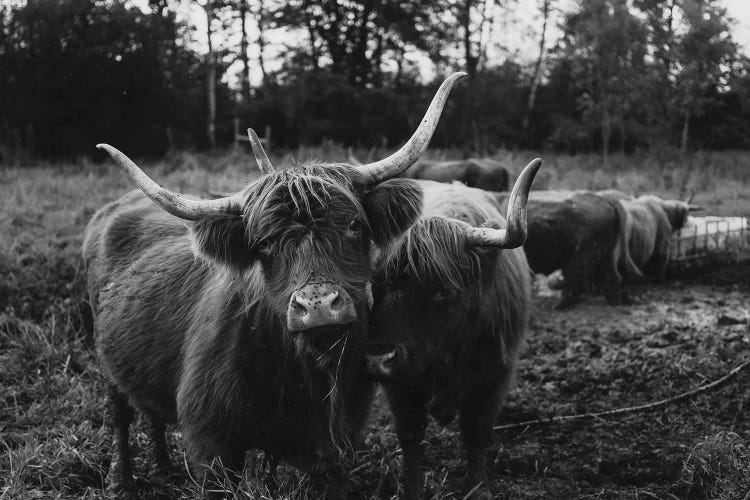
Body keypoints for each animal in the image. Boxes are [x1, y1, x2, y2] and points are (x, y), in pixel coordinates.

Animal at [83, 72, 470, 498]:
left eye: (354, 225)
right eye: (264, 244)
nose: (317, 304)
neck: (301, 371)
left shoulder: (337, 441)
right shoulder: (212, 443)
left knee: (150, 409)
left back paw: (165, 468)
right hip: (105, 358)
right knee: (118, 413)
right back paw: (121, 482)